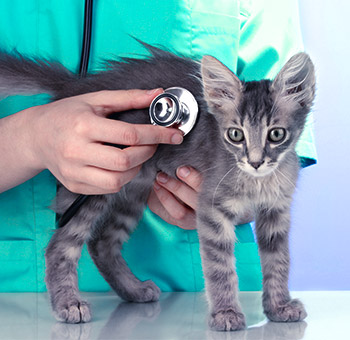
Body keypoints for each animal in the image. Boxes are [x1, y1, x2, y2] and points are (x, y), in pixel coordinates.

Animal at [0, 44, 314, 330]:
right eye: (236, 135)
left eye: (276, 134)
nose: (256, 162)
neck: (258, 182)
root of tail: (77, 86)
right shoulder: (212, 209)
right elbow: (220, 268)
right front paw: (226, 313)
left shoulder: (276, 213)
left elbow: (278, 262)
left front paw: (279, 307)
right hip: (93, 183)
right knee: (60, 245)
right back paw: (68, 303)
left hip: (133, 191)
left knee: (103, 242)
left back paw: (133, 290)